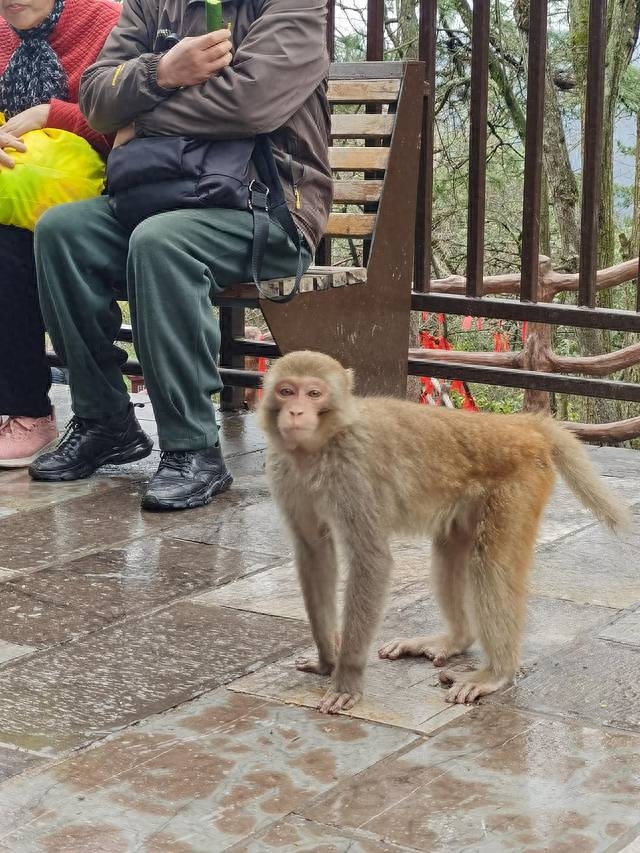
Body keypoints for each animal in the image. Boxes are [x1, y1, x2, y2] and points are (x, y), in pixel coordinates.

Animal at [256, 346, 632, 712]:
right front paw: (326, 660)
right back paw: (456, 640)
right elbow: (314, 552)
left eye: (314, 393)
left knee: (491, 566)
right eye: (286, 391)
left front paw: (347, 678)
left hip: (520, 485)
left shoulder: (353, 472)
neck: (323, 445)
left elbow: (370, 560)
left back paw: (498, 672)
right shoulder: (283, 472)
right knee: (450, 552)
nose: (295, 412)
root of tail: (518, 427)